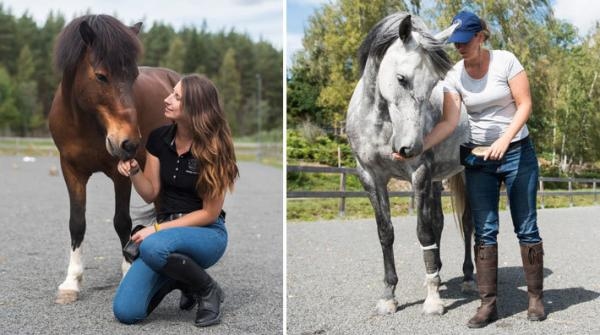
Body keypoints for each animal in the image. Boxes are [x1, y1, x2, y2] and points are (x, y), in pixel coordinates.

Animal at [48, 15, 180, 304]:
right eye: (101, 76)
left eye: (133, 76)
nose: (129, 143)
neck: (86, 124)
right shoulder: (71, 171)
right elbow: (77, 223)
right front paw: (71, 282)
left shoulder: (122, 172)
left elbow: (122, 221)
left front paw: (129, 270)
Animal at [346, 13, 474, 316]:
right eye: (401, 79)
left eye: (433, 85)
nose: (410, 147)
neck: (380, 122)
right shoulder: (370, 176)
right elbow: (386, 232)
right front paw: (389, 296)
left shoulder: (420, 173)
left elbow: (423, 232)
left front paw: (432, 301)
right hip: (437, 180)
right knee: (439, 222)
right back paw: (438, 273)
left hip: (463, 175)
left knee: (468, 224)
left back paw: (467, 278)